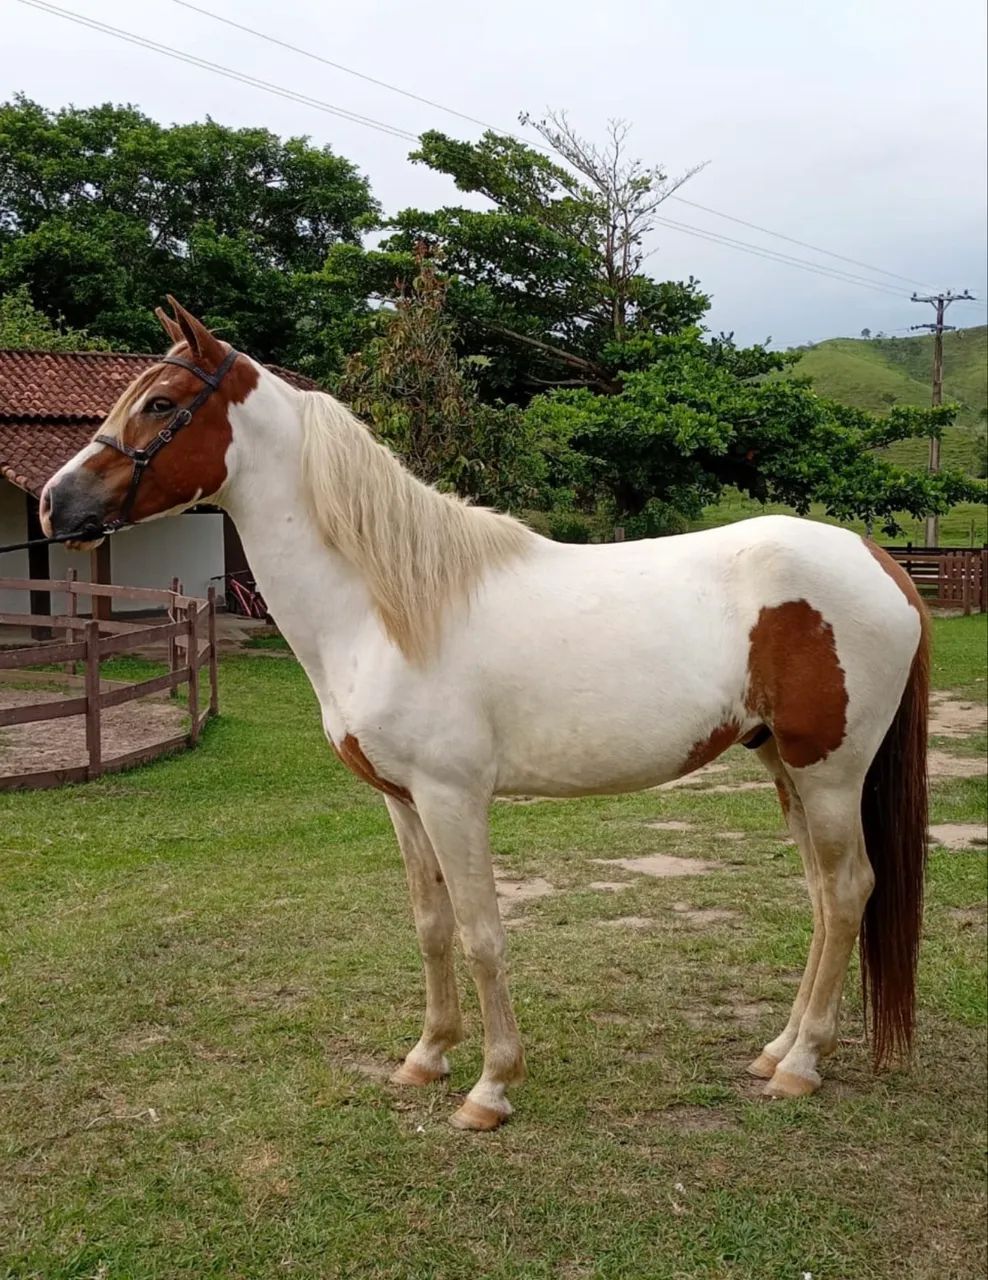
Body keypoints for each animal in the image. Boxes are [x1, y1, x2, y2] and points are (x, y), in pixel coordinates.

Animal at [41, 298, 929, 1132]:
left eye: (160, 403)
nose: (54, 505)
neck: (385, 610)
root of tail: (877, 560)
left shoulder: (452, 797)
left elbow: (483, 934)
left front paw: (491, 1088)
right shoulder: (402, 802)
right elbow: (432, 926)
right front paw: (427, 1056)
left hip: (829, 772)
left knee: (848, 889)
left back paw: (802, 1065)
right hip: (783, 763)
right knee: (820, 895)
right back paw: (778, 1048)